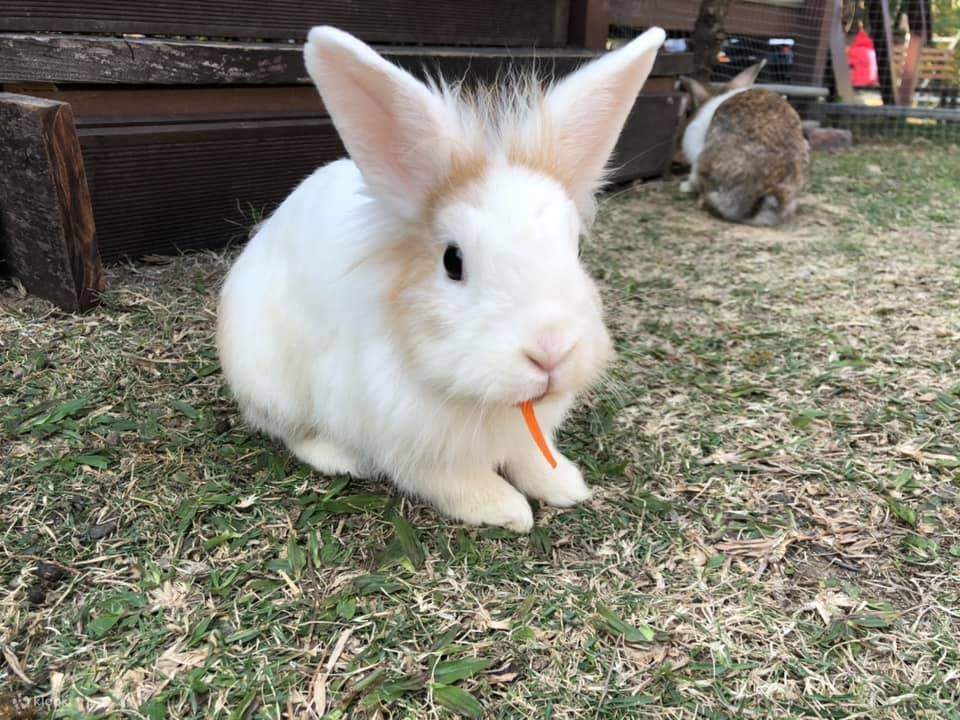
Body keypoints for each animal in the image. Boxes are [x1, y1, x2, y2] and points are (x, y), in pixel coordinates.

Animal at [216, 26, 666, 532]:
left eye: (576, 249)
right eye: (453, 261)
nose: (551, 352)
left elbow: (533, 457)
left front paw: (564, 484)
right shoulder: (409, 444)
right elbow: (455, 482)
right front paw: (508, 509)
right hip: (271, 378)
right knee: (288, 431)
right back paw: (339, 458)